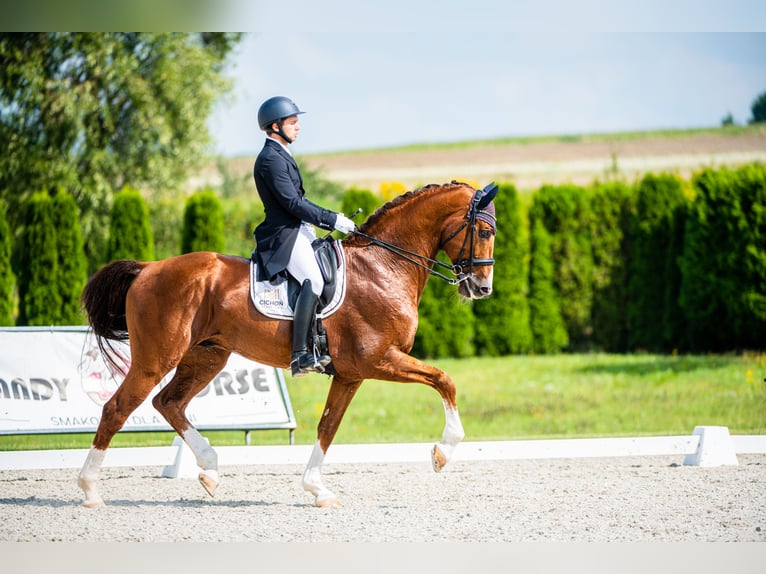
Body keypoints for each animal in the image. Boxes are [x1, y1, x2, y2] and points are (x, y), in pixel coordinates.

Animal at [76, 181, 498, 508]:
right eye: (485, 232)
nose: (482, 289)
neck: (383, 266)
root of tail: (148, 268)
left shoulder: (350, 374)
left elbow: (328, 426)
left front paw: (317, 490)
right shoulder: (379, 360)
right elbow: (444, 380)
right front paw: (443, 452)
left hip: (207, 357)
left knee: (168, 402)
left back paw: (210, 469)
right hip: (156, 358)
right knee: (117, 408)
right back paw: (91, 491)